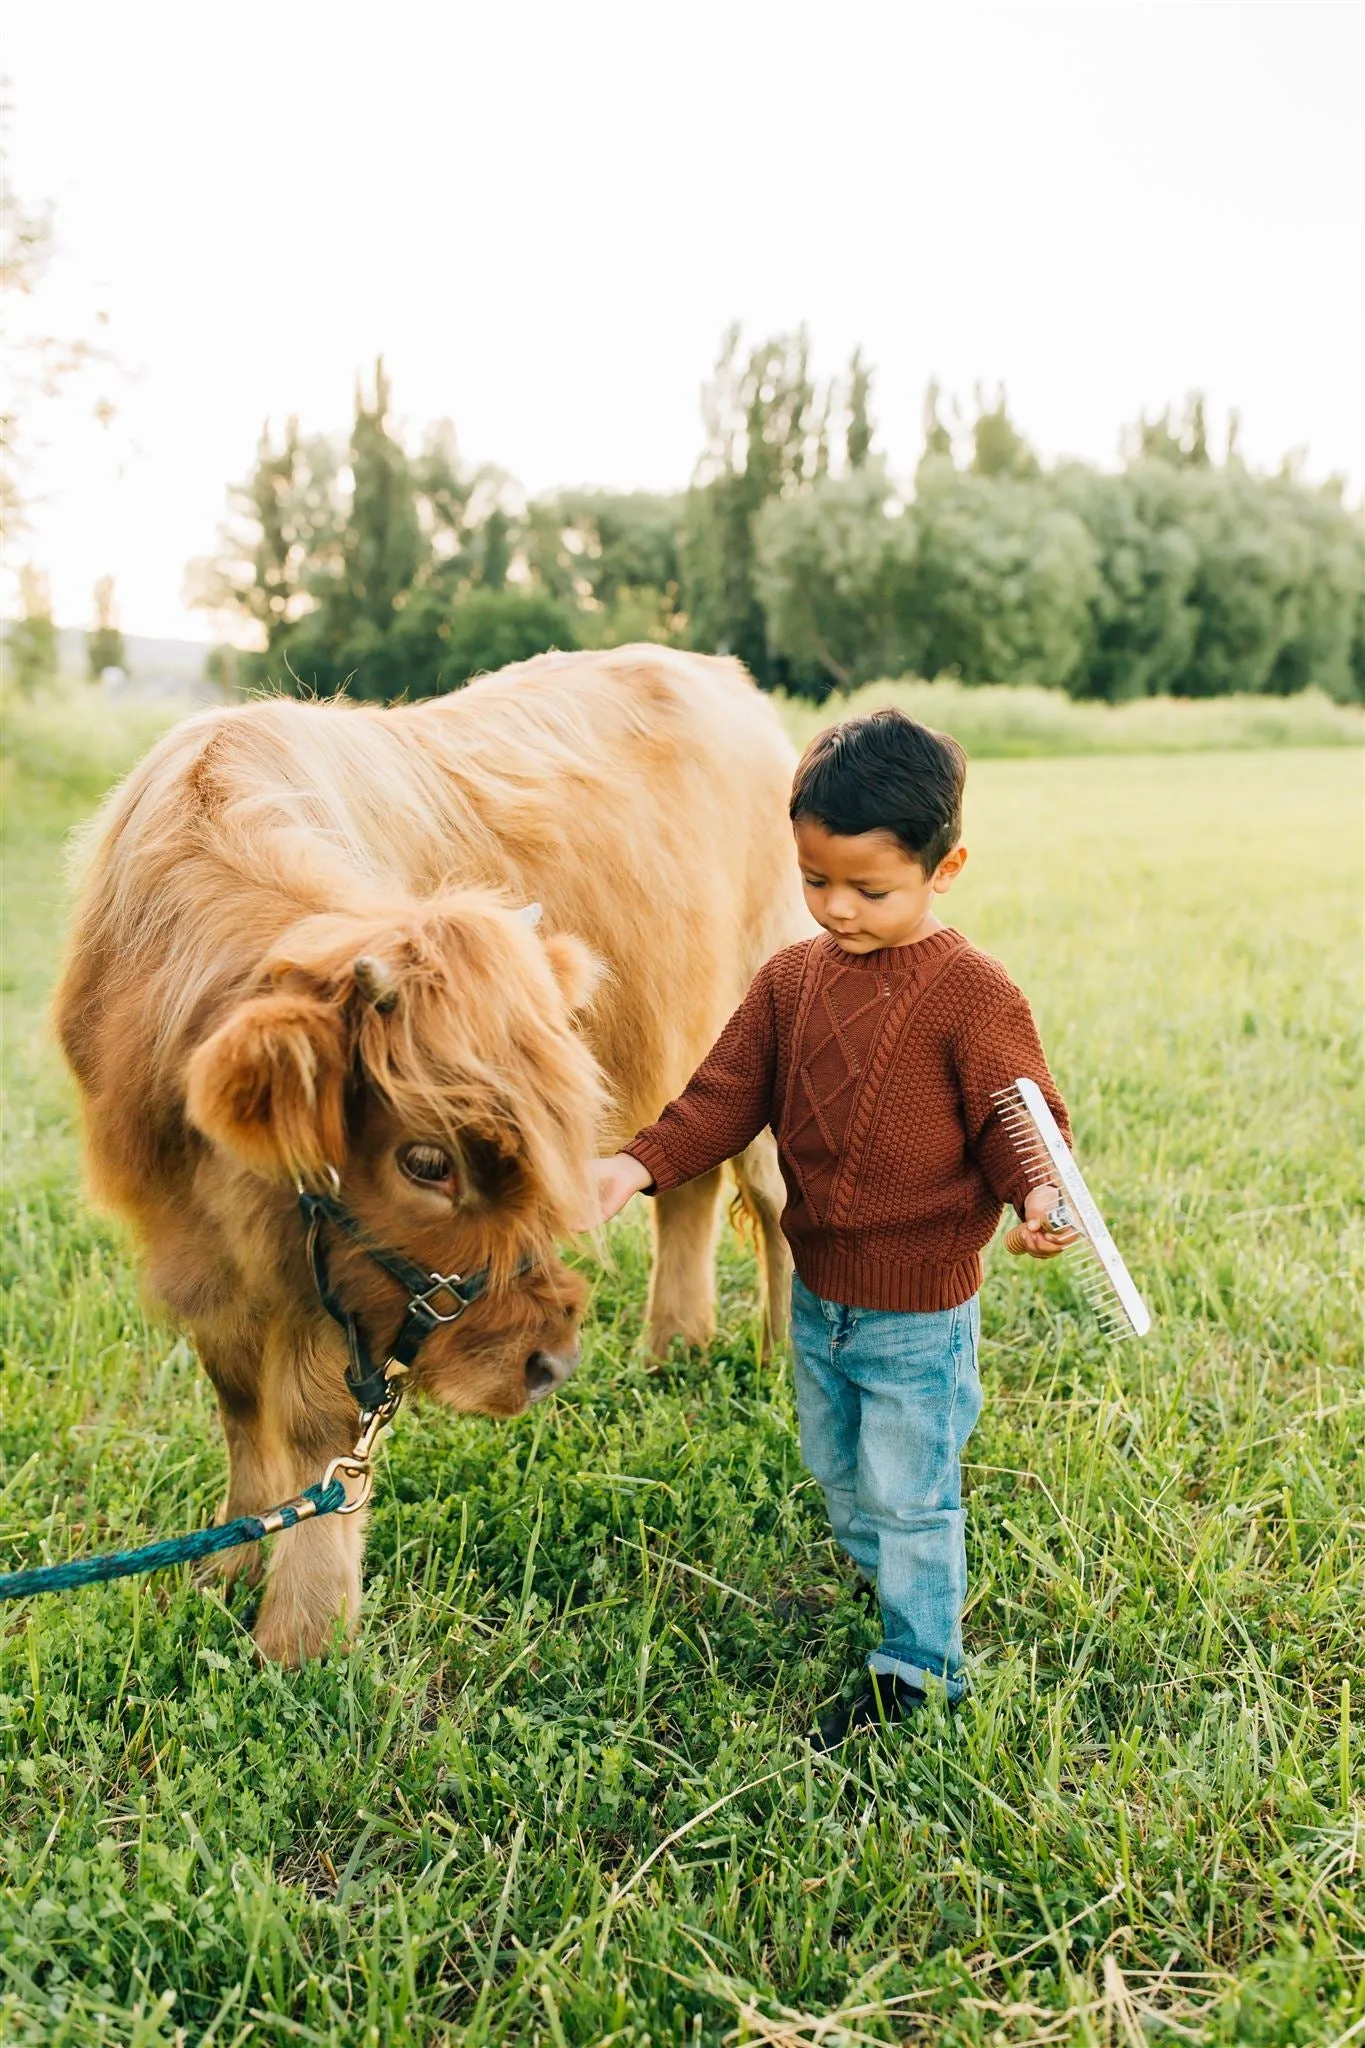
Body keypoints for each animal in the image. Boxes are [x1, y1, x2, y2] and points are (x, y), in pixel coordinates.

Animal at [53, 647, 806, 1654]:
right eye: (425, 1161)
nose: (550, 1364)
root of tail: (712, 670)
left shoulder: (329, 1297)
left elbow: (317, 1424)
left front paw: (303, 1635)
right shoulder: (197, 1250)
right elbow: (239, 1398)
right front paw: (230, 1560)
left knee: (776, 1201)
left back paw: (782, 1359)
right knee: (686, 1192)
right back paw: (673, 1351)